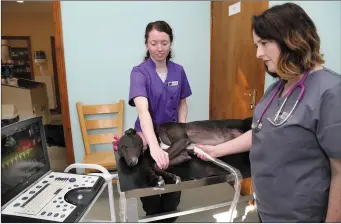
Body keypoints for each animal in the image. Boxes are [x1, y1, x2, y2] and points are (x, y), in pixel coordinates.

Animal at [115, 117, 251, 189]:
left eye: (124, 146)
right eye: (121, 154)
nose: (130, 164)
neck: (154, 137)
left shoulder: (181, 140)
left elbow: (153, 164)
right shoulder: (183, 155)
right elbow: (154, 166)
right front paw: (165, 177)